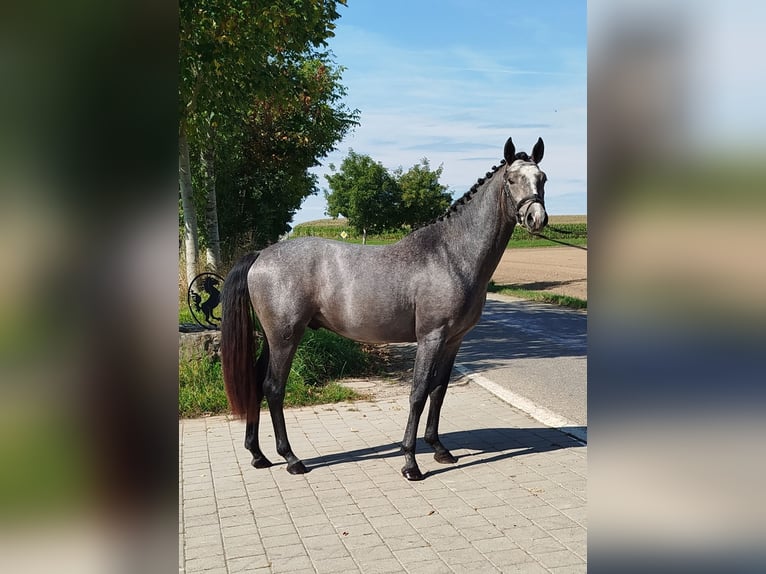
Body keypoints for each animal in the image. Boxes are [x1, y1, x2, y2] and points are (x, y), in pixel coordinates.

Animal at [221, 136, 548, 480]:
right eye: (511, 180)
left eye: (542, 178)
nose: (536, 219)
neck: (451, 255)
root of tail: (261, 255)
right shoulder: (431, 338)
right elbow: (418, 392)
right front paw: (410, 463)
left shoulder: (454, 341)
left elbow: (439, 390)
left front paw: (439, 449)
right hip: (285, 338)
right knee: (273, 388)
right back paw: (291, 458)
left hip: (272, 339)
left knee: (256, 383)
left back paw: (258, 455)